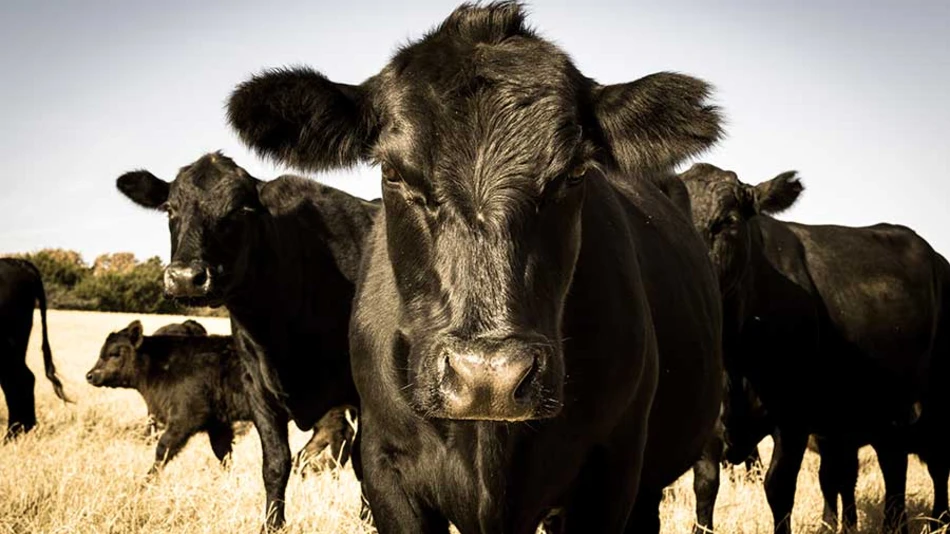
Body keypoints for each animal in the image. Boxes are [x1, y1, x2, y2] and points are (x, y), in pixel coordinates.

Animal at [116, 152, 379, 530]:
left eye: (240, 210)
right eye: (169, 209)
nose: (185, 278)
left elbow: (364, 463)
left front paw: (369, 519)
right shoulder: (257, 387)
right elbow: (276, 463)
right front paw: (272, 525)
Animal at [681, 162, 950, 534]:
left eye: (728, 222)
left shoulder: (794, 418)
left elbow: (779, 487)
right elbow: (706, 487)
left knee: (936, 464)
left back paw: (939, 522)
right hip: (886, 410)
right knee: (892, 464)